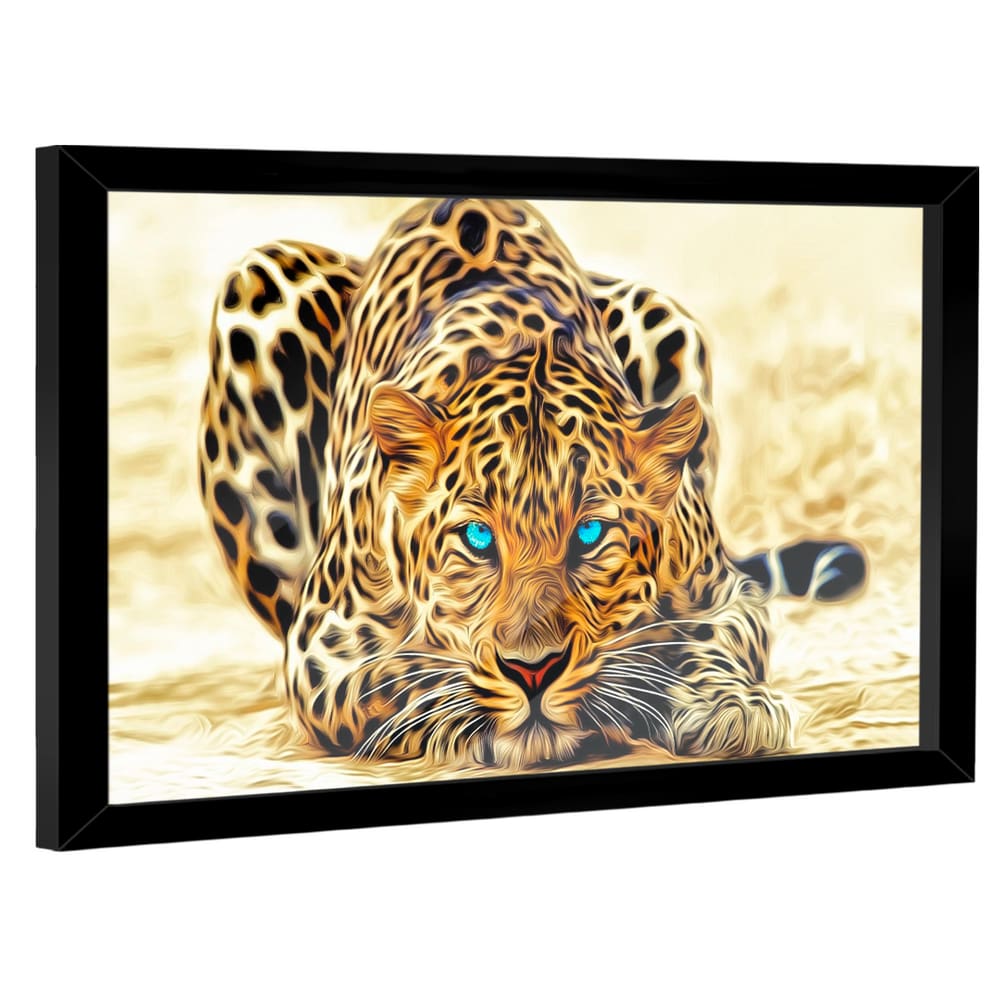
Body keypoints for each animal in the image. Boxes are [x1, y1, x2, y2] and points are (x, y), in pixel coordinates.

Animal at [197, 197, 867, 772]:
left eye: (591, 535)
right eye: (477, 540)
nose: (534, 671)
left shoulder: (724, 593)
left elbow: (716, 642)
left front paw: (734, 706)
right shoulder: (323, 647)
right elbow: (400, 678)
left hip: (663, 314)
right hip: (258, 284)